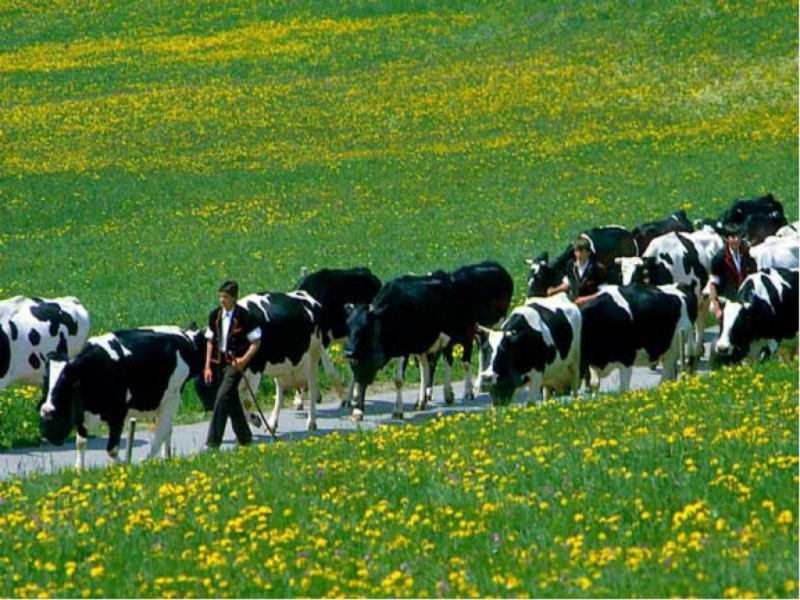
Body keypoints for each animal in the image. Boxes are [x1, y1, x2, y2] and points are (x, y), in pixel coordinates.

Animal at [39, 326, 205, 472]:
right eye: (45, 379)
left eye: (68, 381)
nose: (47, 411)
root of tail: (185, 334)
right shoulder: (80, 414)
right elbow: (80, 442)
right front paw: (78, 470)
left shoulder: (118, 414)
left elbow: (111, 449)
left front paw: (126, 464)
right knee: (167, 430)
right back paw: (166, 458)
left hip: (172, 396)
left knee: (161, 432)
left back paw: (146, 460)